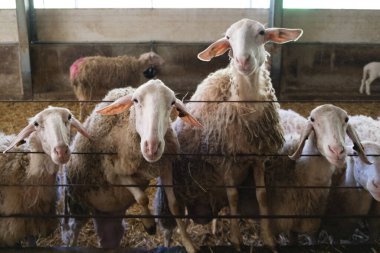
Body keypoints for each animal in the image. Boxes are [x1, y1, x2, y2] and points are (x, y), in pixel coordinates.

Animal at [60, 79, 200, 253]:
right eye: (135, 101)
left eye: (172, 103)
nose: (152, 147)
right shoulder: (116, 173)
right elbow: (142, 198)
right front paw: (149, 225)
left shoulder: (165, 166)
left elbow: (174, 206)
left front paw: (188, 243)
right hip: (78, 202)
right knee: (74, 228)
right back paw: (71, 245)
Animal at [154, 18, 302, 251]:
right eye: (228, 38)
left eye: (261, 32)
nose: (242, 61)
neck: (246, 108)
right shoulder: (225, 161)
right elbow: (233, 197)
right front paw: (237, 240)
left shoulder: (257, 157)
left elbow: (262, 195)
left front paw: (269, 239)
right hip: (170, 185)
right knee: (175, 208)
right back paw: (185, 244)